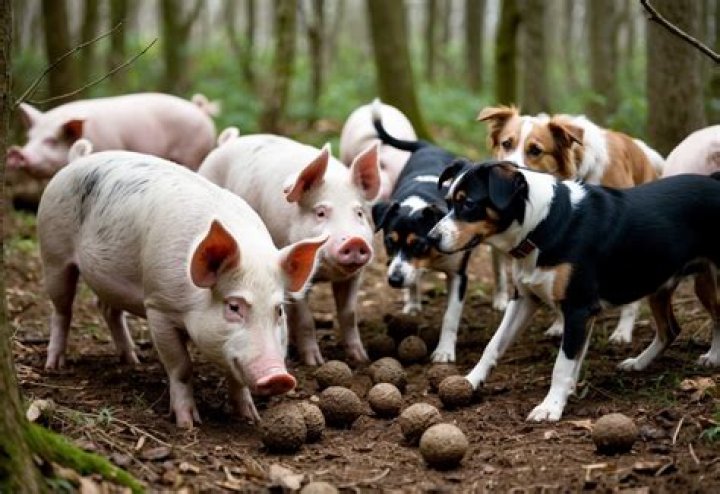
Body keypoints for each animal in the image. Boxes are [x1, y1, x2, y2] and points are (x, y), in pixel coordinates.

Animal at [37, 151, 326, 427]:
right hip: (53, 252)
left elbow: (235, 376)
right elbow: (181, 367)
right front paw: (187, 424)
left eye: (279, 310)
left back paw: (132, 360)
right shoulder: (158, 306)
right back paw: (55, 366)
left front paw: (250, 417)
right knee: (62, 310)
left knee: (108, 309)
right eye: (234, 306)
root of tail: (77, 161)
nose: (279, 377)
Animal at [198, 135, 380, 365]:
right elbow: (305, 319)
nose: (355, 241)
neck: (324, 273)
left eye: (359, 213)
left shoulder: (354, 276)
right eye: (320, 213)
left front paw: (361, 359)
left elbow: (349, 313)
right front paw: (315, 363)